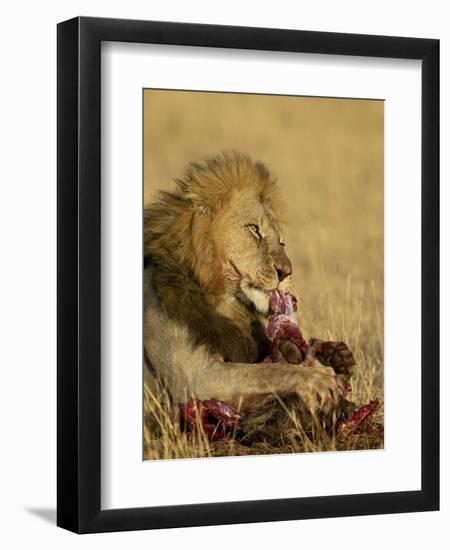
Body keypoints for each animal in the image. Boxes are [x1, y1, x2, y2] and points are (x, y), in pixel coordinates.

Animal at [144, 152, 356, 436]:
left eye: (281, 241)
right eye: (254, 229)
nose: (286, 271)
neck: (224, 301)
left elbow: (269, 365)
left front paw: (334, 356)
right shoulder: (198, 379)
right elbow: (270, 372)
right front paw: (319, 378)